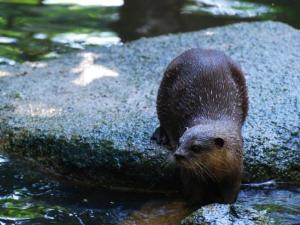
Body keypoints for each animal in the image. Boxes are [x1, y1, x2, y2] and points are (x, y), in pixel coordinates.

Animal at [152, 48, 248, 206]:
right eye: (179, 143)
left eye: (196, 148)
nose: (178, 155)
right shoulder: (189, 174)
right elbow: (193, 192)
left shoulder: (235, 169)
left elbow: (231, 192)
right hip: (164, 87)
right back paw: (161, 135)